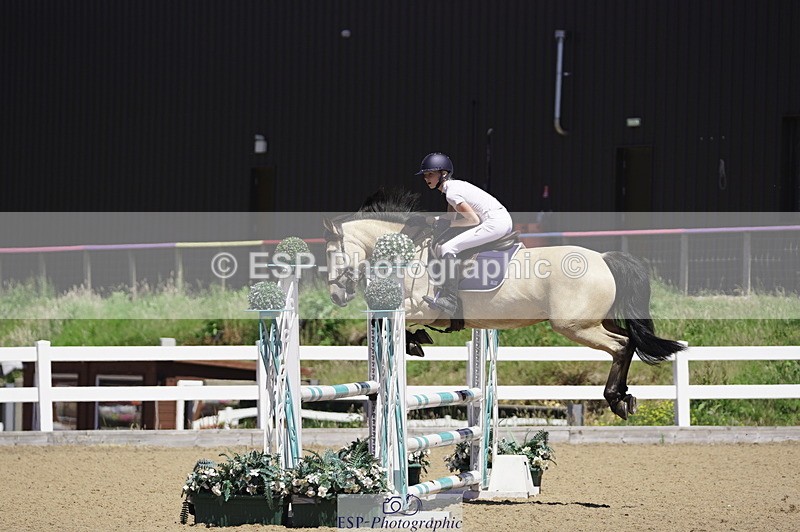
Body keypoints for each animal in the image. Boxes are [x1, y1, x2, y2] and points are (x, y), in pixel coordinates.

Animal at [322, 190, 685, 420]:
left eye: (330, 252)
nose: (336, 296)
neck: (406, 248)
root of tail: (604, 258)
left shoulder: (424, 307)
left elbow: (399, 316)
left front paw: (414, 341)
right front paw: (416, 341)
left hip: (574, 326)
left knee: (621, 346)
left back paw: (615, 399)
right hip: (597, 321)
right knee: (630, 340)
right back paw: (625, 398)